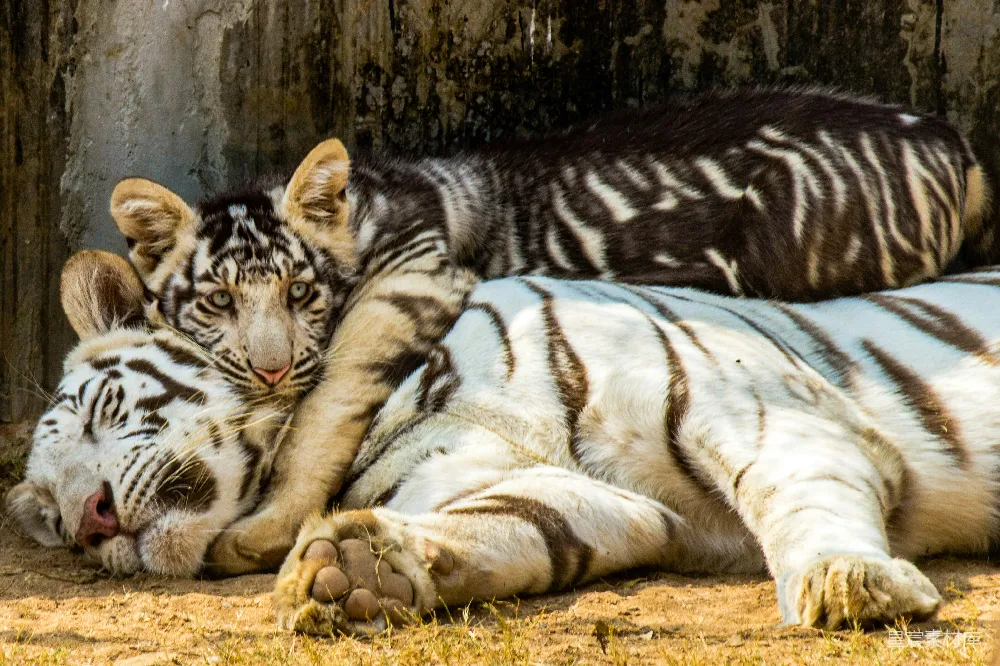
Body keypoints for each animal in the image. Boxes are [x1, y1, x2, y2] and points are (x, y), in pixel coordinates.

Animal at [12, 248, 1000, 634]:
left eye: (101, 410)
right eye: (53, 519)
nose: (93, 520)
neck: (397, 405)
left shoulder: (746, 399)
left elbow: (798, 491)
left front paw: (851, 582)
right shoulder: (616, 504)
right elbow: (516, 524)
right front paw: (353, 572)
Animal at [106, 87, 993, 575]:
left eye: (300, 293)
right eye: (217, 302)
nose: (268, 370)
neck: (366, 219)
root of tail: (953, 140)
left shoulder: (412, 280)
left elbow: (324, 409)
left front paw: (260, 529)